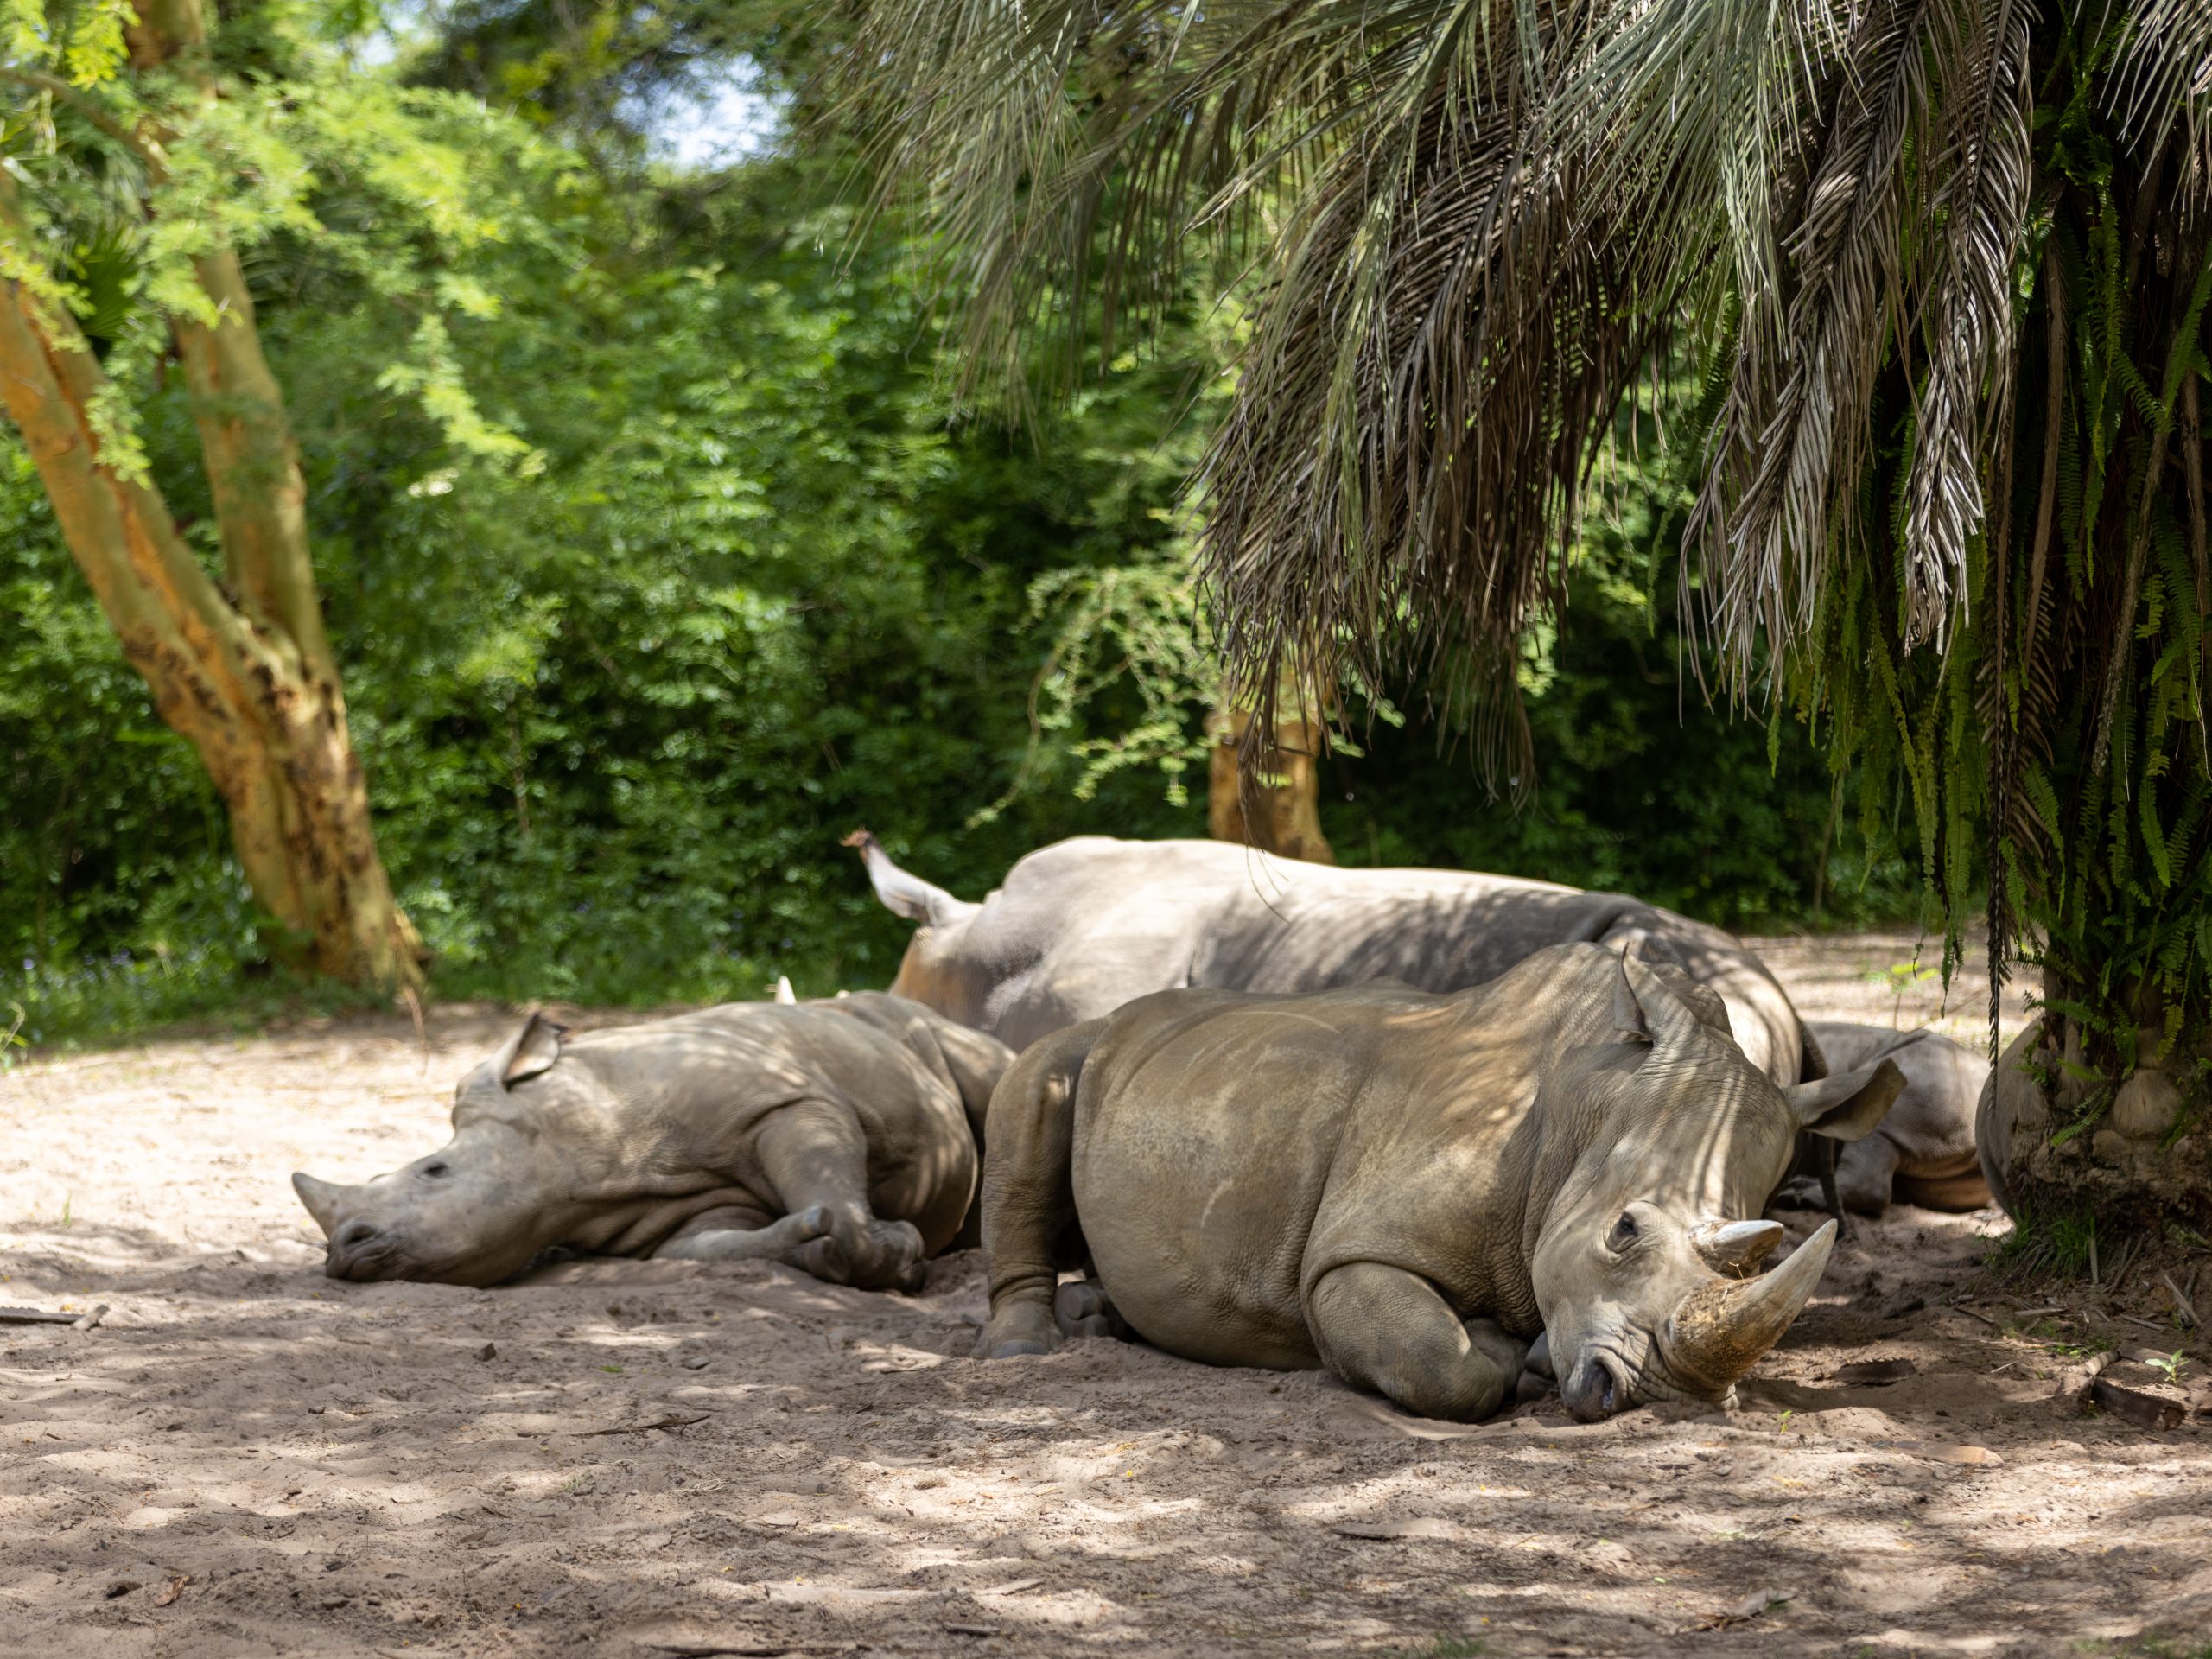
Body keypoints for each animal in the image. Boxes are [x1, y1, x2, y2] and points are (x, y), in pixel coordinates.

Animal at [291, 993, 1011, 1290]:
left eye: (434, 1172)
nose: (343, 1250)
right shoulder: (682, 1218)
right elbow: (723, 1248)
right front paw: (825, 1245)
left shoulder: (786, 1100)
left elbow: (826, 1173)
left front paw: (888, 1254)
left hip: (909, 1020)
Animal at [973, 943, 1904, 1422]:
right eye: (1623, 1231)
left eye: (1762, 1259)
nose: (1660, 1398)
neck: (1584, 1104)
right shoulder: (1350, 1258)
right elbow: (1438, 1365)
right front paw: (1503, 1354)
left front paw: (1532, 1352)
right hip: (1084, 1043)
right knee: (1034, 1090)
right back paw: (1024, 1348)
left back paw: (1102, 1317)